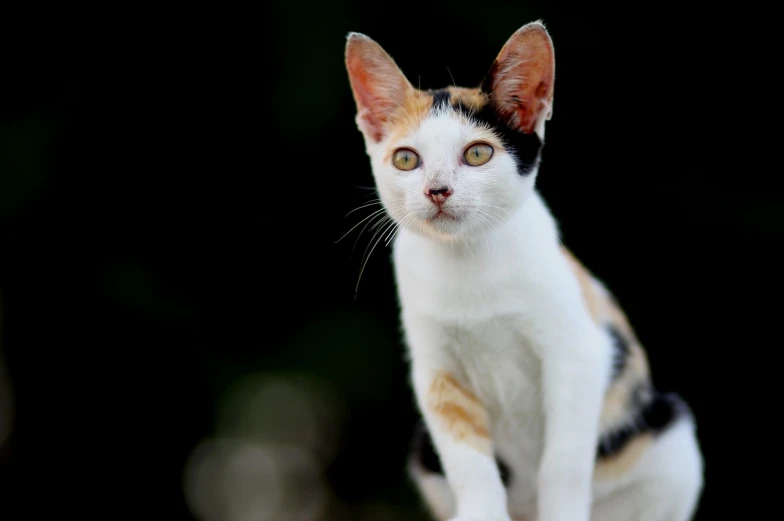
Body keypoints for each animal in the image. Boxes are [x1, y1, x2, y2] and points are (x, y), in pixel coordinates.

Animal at [344, 20, 704, 520]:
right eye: (405, 159)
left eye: (477, 154)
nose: (437, 190)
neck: (468, 262)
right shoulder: (437, 375)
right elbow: (469, 463)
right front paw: (480, 511)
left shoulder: (579, 352)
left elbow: (564, 460)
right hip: (422, 451)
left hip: (668, 435)